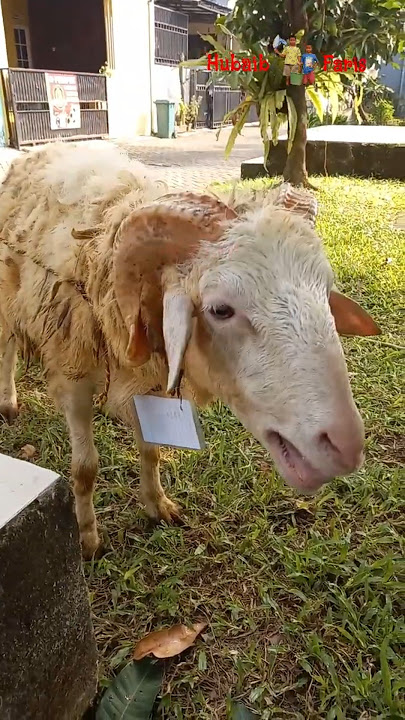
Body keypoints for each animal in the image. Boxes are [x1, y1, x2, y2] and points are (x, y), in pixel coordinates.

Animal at [0, 142, 380, 558]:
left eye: (325, 292)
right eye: (220, 309)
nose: (345, 445)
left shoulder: (150, 381)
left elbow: (152, 449)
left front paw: (157, 505)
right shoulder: (74, 375)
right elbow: (85, 468)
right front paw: (87, 539)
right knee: (6, 348)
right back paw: (8, 401)